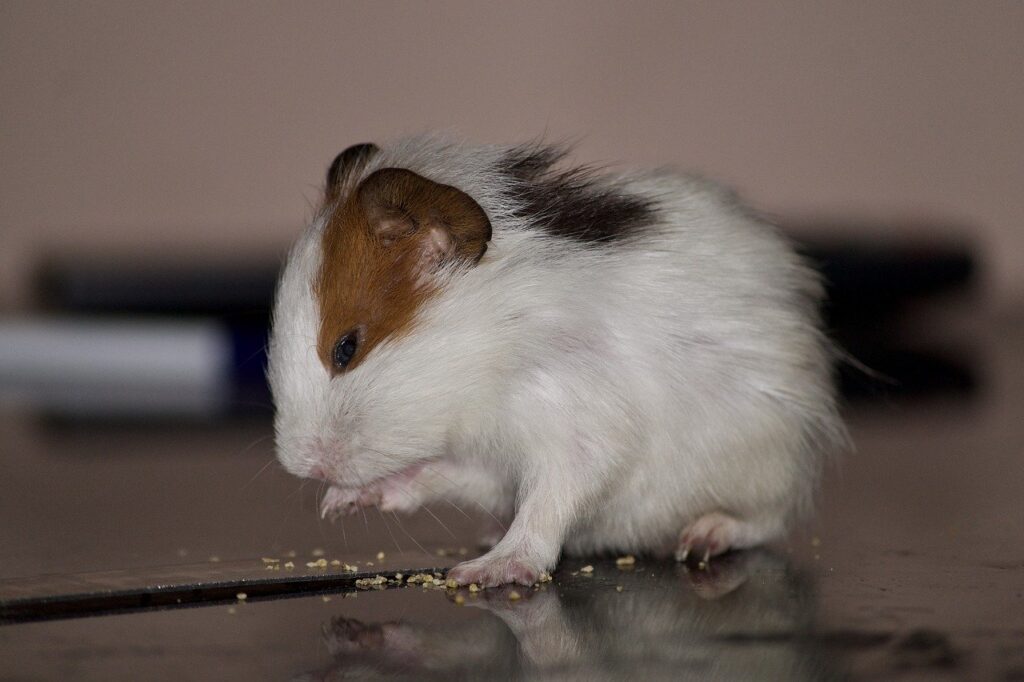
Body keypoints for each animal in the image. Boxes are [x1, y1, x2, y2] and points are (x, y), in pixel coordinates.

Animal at [268, 135, 846, 587]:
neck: (492, 353)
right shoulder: (487, 459)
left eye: (347, 347)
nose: (301, 466)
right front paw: (340, 503)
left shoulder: (580, 432)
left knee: (766, 522)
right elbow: (434, 475)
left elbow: (546, 507)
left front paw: (484, 572)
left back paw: (700, 538)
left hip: (771, 465)